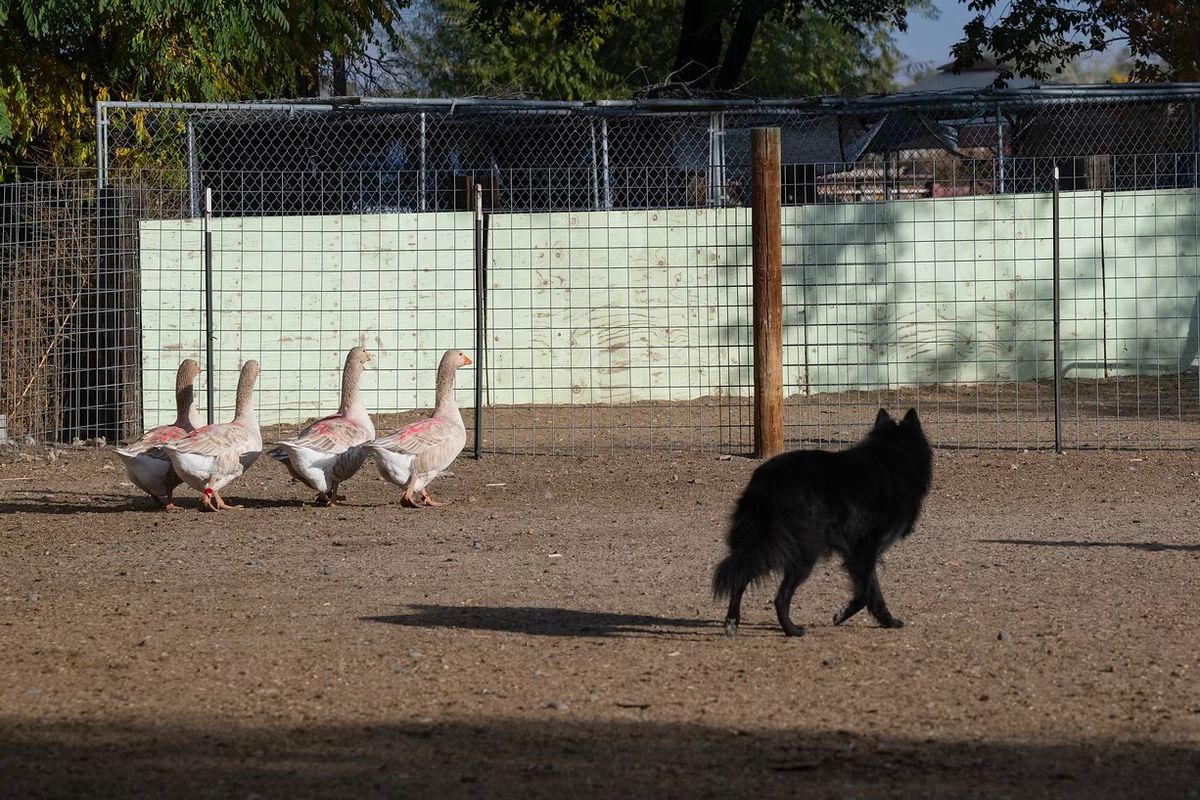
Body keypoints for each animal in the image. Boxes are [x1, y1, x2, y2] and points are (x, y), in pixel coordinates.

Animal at [715, 407, 931, 638]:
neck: (893, 455)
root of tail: (768, 483)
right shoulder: (866, 550)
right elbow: (868, 591)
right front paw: (863, 617)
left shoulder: (856, 552)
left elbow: (869, 589)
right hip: (803, 552)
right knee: (780, 597)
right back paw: (792, 630)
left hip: (761, 544)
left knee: (740, 577)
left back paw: (732, 623)